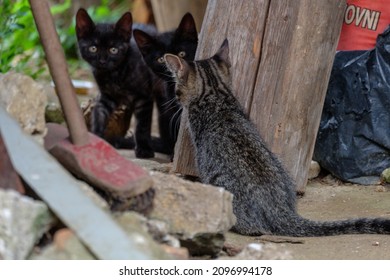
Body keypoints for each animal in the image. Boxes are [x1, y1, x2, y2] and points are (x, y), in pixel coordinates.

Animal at [75, 8, 156, 158]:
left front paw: (144, 149)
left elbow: (142, 125)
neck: (114, 74)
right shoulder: (107, 96)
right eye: (93, 48)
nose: (102, 61)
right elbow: (98, 114)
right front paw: (97, 138)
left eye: (113, 50)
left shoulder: (144, 98)